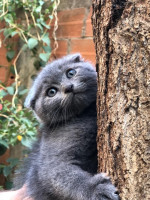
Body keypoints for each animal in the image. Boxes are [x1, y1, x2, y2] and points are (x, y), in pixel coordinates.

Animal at [22, 54, 118, 200]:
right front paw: (96, 190)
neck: (86, 113)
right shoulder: (53, 161)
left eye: (71, 73)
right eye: (51, 92)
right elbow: (61, 175)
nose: (68, 87)